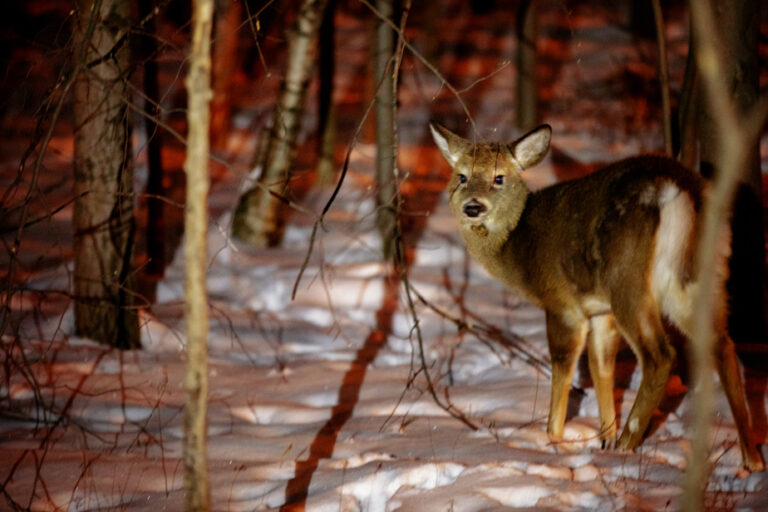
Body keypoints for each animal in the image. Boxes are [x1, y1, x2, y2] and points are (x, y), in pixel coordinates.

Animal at [428, 121, 764, 472]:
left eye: (499, 178)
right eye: (461, 176)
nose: (472, 207)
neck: (518, 246)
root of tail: (676, 187)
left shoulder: (561, 303)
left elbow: (564, 364)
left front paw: (553, 439)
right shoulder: (600, 311)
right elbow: (601, 365)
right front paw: (604, 437)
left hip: (628, 280)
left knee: (660, 355)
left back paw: (628, 444)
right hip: (701, 278)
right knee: (722, 343)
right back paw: (751, 459)